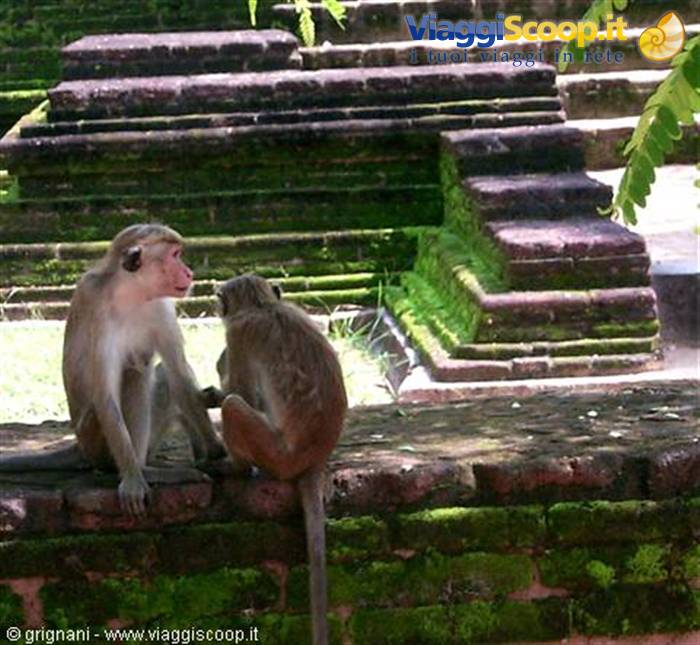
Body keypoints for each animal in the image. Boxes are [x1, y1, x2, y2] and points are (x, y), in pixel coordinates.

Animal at [0, 224, 225, 516]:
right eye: (175, 255)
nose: (189, 272)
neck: (131, 293)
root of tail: (80, 446)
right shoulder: (96, 306)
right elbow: (105, 394)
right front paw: (131, 479)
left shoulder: (161, 306)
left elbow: (178, 373)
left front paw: (217, 449)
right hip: (95, 440)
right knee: (131, 375)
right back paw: (141, 471)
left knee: (158, 374)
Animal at [216, 275, 347, 645]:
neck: (263, 306)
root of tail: (313, 459)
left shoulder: (239, 334)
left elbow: (242, 391)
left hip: (275, 454)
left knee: (233, 405)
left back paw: (236, 467)